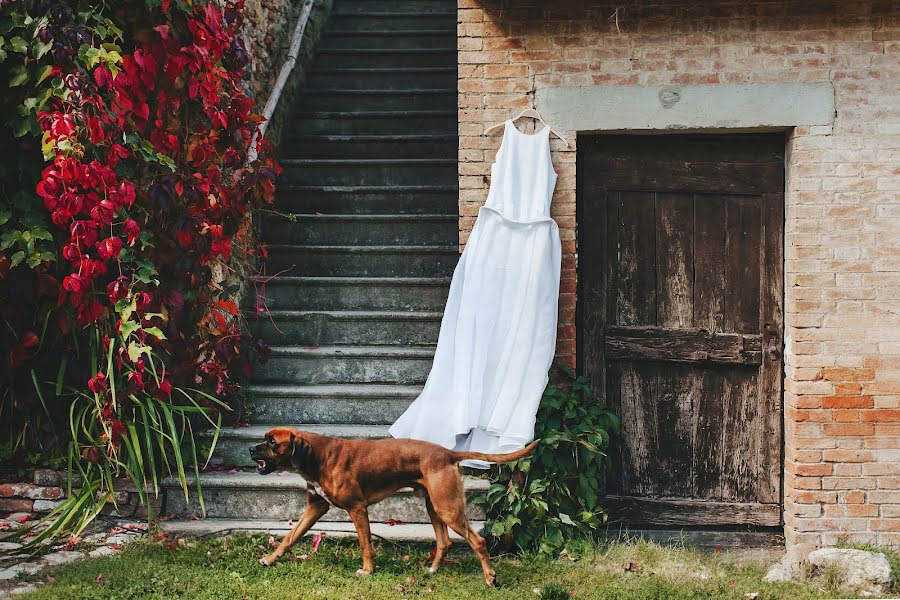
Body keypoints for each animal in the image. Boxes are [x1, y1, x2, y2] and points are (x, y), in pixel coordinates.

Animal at [250, 426, 536, 584]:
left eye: (272, 442)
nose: (251, 449)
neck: (318, 457)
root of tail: (448, 453)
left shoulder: (357, 508)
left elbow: (365, 545)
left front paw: (367, 571)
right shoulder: (315, 508)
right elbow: (289, 538)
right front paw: (270, 559)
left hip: (448, 509)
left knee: (478, 541)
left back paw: (490, 578)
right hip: (434, 506)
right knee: (444, 542)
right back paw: (432, 569)